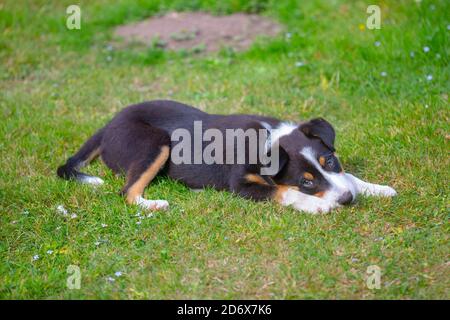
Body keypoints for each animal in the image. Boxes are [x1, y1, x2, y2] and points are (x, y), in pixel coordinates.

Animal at [57, 99, 398, 215]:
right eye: (306, 182)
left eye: (332, 162)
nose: (347, 200)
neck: (267, 141)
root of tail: (108, 125)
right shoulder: (242, 185)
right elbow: (282, 192)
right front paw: (319, 205)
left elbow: (349, 176)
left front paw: (377, 188)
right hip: (155, 142)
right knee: (127, 192)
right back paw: (155, 204)